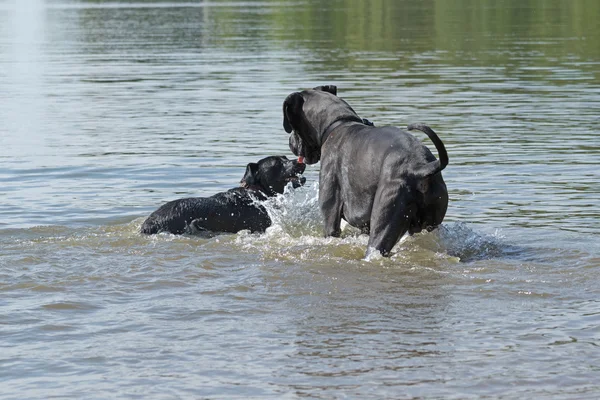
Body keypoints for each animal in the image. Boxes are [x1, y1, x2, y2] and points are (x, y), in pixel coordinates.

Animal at [284, 86, 448, 258]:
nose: (290, 142)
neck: (339, 123)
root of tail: (419, 168)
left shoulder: (330, 218)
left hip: (383, 224)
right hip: (431, 224)